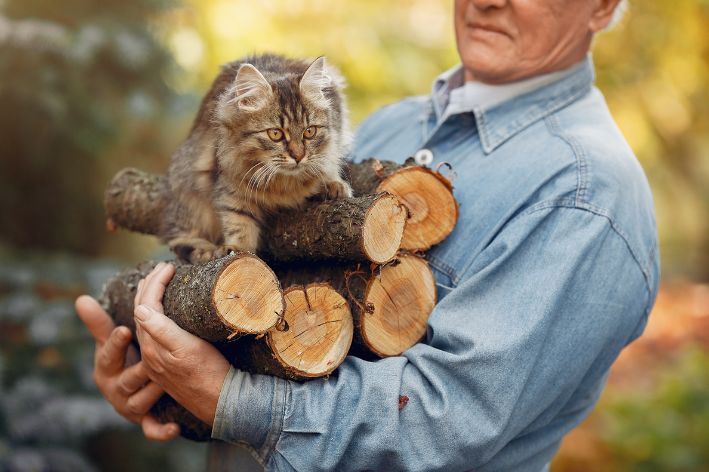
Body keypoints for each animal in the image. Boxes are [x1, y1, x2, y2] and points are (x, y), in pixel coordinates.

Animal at [158, 54, 352, 264]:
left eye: (309, 132)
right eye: (275, 134)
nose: (298, 156)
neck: (283, 183)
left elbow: (328, 166)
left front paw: (333, 185)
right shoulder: (231, 187)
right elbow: (239, 223)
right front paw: (237, 251)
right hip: (186, 185)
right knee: (181, 236)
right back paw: (203, 251)